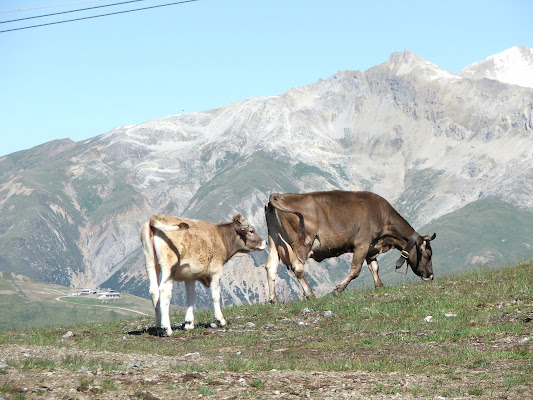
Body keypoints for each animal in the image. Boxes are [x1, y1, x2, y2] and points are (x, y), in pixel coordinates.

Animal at [264, 190, 434, 300]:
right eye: (428, 254)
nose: (431, 276)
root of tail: (279, 196)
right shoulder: (362, 244)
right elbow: (356, 270)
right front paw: (337, 290)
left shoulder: (371, 248)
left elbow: (374, 267)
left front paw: (380, 286)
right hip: (302, 242)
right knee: (298, 267)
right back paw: (311, 295)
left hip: (274, 238)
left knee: (271, 266)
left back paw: (273, 300)